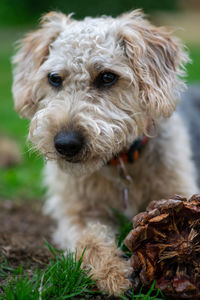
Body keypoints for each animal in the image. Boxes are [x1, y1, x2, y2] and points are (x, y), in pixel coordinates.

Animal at [11, 11, 198, 296]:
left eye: (107, 77)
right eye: (54, 78)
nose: (65, 144)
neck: (120, 165)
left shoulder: (180, 189)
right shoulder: (76, 212)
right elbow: (91, 240)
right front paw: (113, 273)